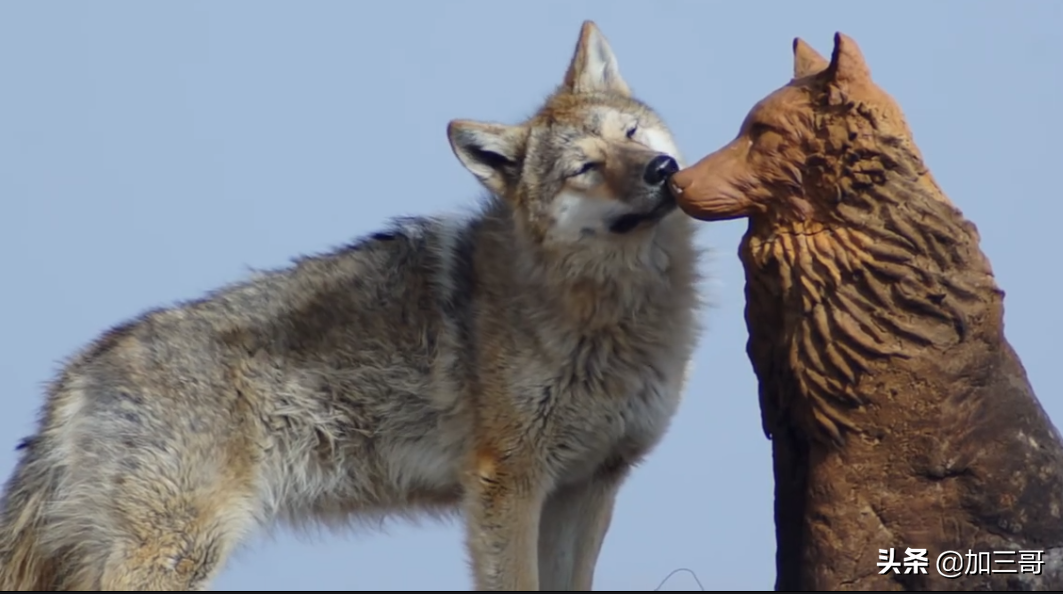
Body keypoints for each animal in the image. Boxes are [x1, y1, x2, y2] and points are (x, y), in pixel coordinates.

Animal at [2, 20, 705, 590]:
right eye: (586, 167)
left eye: (632, 133)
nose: (661, 169)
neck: (610, 315)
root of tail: (77, 373)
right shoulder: (507, 485)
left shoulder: (587, 486)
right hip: (177, 554)